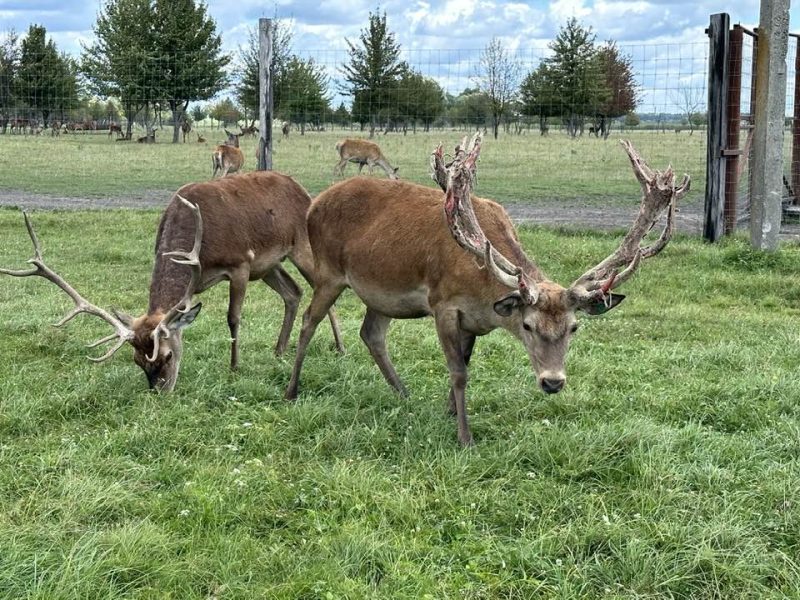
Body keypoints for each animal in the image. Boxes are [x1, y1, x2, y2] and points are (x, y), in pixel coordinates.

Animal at [0, 171, 344, 392]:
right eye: (136, 360)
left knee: (320, 293)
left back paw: (339, 348)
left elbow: (233, 318)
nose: (159, 391)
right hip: (270, 265)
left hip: (299, 248)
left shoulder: (241, 264)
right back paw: (279, 351)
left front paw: (234, 367)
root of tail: (301, 189)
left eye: (166, 355)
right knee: (293, 293)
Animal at [286, 136, 688, 446]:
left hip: (380, 293)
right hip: (329, 272)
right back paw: (292, 390)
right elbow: (458, 373)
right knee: (309, 320)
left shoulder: (473, 321)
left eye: (574, 327)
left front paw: (449, 413)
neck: (482, 289)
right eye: (528, 325)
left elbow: (464, 364)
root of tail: (314, 204)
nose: (553, 382)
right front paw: (465, 436)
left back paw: (404, 395)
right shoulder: (443, 304)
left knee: (371, 333)